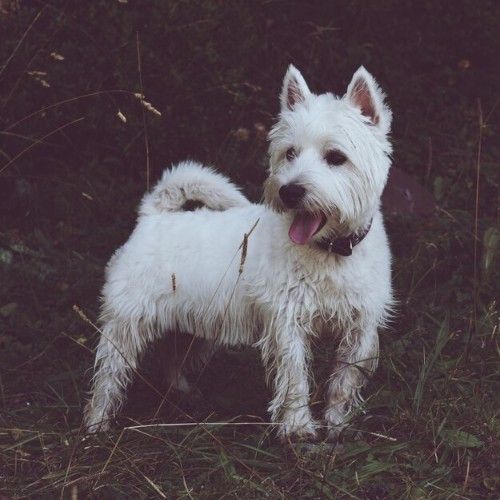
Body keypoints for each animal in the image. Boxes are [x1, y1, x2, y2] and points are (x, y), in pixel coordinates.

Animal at [83, 64, 394, 440]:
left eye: (337, 157)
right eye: (290, 153)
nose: (290, 191)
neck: (331, 252)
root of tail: (152, 216)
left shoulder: (360, 326)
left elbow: (344, 380)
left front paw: (336, 425)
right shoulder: (288, 323)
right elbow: (295, 378)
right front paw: (298, 428)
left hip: (191, 323)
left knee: (172, 358)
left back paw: (184, 393)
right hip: (126, 323)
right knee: (109, 375)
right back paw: (96, 423)